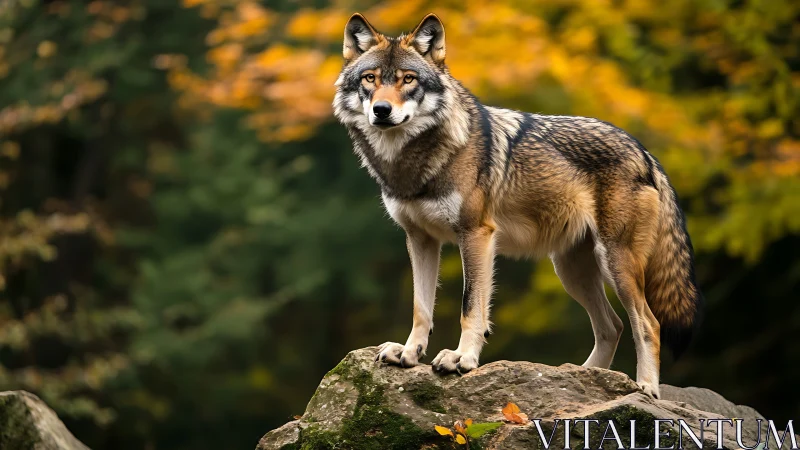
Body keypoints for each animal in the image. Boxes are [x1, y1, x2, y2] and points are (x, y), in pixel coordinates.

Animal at [333, 13, 702, 398]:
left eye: (408, 79)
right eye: (370, 79)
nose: (382, 110)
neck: (412, 164)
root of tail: (644, 152)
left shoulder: (476, 234)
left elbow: (471, 307)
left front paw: (462, 359)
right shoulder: (420, 240)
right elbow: (421, 308)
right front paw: (408, 353)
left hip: (615, 263)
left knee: (648, 323)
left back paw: (646, 388)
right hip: (571, 270)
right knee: (612, 325)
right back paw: (584, 378)